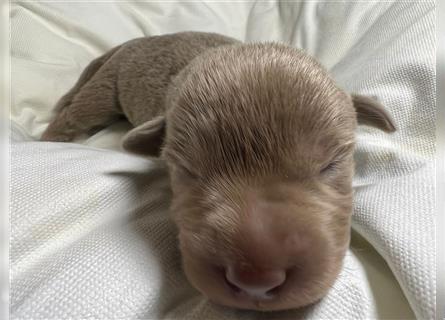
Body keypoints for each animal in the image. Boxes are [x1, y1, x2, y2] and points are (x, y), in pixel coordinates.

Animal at [41, 31, 396, 312]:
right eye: (187, 170)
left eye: (331, 164)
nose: (256, 281)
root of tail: (140, 40)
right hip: (107, 86)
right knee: (77, 111)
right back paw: (48, 139)